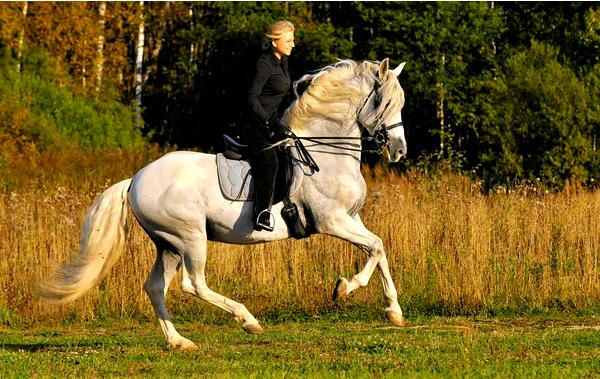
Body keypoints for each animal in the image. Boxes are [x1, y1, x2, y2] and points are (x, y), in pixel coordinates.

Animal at [38, 58, 408, 352]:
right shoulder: (331, 220)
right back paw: (248, 319)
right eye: (386, 101)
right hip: (190, 236)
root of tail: (135, 178)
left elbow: (379, 248)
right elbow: (375, 247)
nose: (399, 151)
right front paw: (345, 287)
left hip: (168, 244)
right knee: (193, 284)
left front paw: (394, 311)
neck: (326, 151)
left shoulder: (351, 218)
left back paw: (179, 341)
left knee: (156, 287)